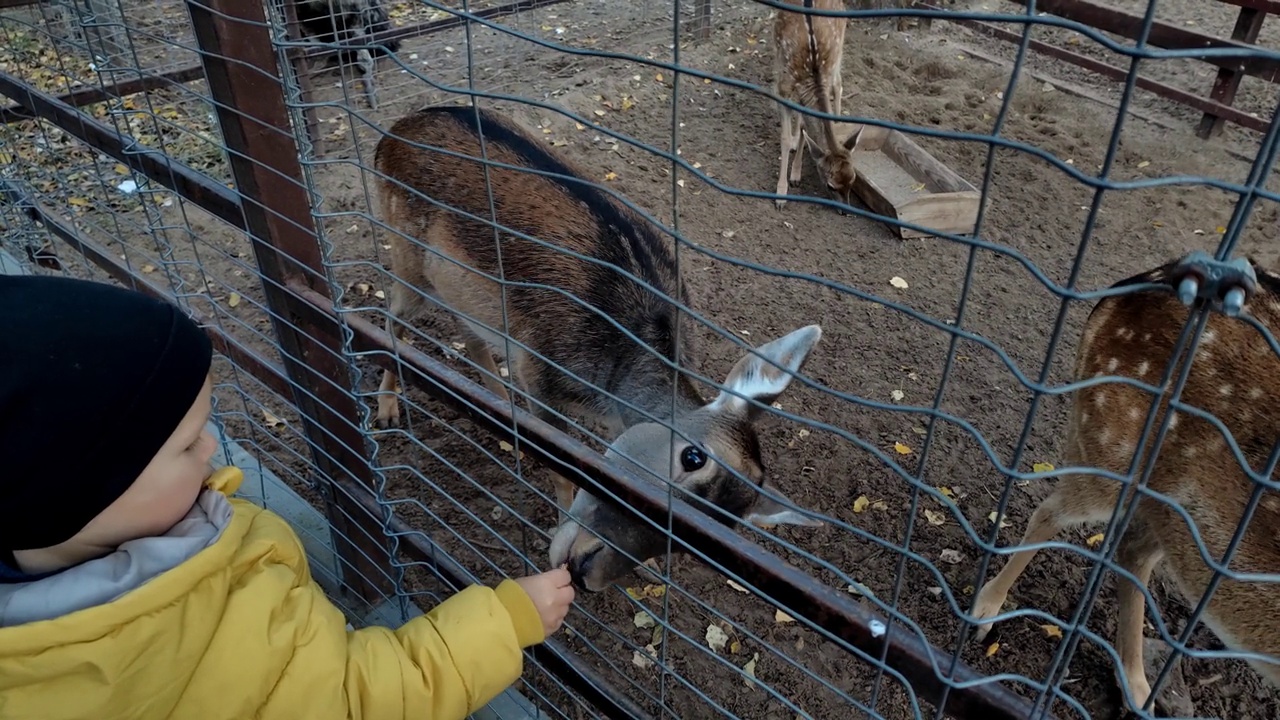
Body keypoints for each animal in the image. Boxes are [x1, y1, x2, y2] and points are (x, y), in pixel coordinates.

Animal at [373, 105, 824, 589]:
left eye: (709, 537)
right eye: (692, 456)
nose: (586, 567)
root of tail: (392, 132)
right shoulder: (537, 370)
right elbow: (560, 464)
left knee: (470, 337)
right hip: (406, 259)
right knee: (392, 319)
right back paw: (387, 411)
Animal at [768, 0, 870, 211]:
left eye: (853, 179)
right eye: (831, 185)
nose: (846, 211)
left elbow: (804, 125)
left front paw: (795, 175)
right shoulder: (783, 88)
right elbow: (785, 137)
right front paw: (781, 195)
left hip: (839, 48)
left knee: (838, 84)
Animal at [967, 254, 1280, 707]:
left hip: (1173, 515)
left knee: (1131, 552)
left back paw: (1136, 684)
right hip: (1111, 446)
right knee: (1050, 511)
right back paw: (984, 611)